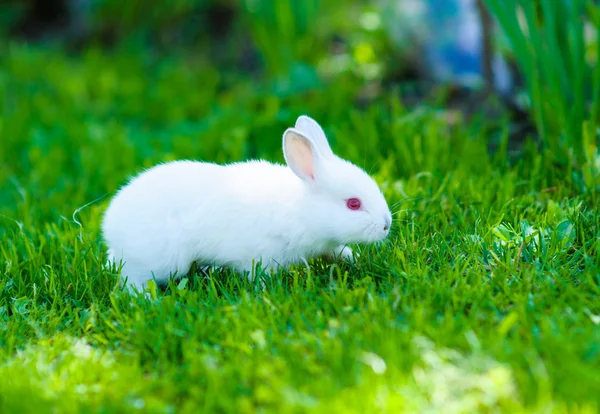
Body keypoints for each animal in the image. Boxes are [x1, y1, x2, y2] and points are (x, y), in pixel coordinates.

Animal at [102, 115, 394, 292]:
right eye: (353, 204)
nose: (386, 226)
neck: (302, 209)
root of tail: (110, 226)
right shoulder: (260, 256)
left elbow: (338, 252)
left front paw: (353, 259)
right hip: (159, 262)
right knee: (132, 281)